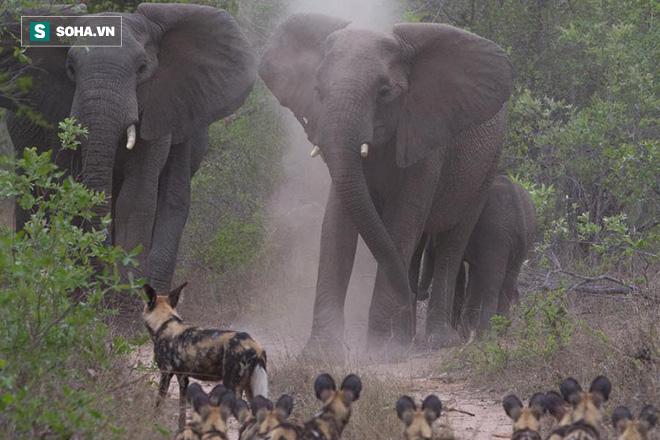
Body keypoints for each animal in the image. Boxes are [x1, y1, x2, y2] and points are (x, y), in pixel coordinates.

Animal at [0, 5, 255, 292]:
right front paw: (86, 287)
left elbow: (137, 195)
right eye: (70, 69)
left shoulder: (157, 107)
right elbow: (67, 188)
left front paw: (124, 290)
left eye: (142, 68)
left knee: (174, 192)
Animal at [142, 282, 268, 430]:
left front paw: (152, 425)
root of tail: (255, 346)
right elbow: (182, 412)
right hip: (250, 390)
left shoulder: (165, 373)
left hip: (233, 387)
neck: (164, 322)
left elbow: (158, 404)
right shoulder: (183, 378)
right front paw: (181, 430)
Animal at [258, 13, 516, 354]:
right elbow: (337, 225)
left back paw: (435, 341)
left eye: (383, 91)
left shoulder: (427, 134)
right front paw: (320, 354)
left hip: (487, 167)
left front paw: (381, 352)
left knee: (451, 243)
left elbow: (402, 222)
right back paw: (408, 338)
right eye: (318, 89)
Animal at [416, 175, 540, 336]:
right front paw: (464, 330)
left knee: (491, 285)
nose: (422, 293)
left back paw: (484, 334)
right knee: (507, 282)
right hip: (520, 240)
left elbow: (461, 276)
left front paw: (460, 330)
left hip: (495, 235)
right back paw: (500, 332)